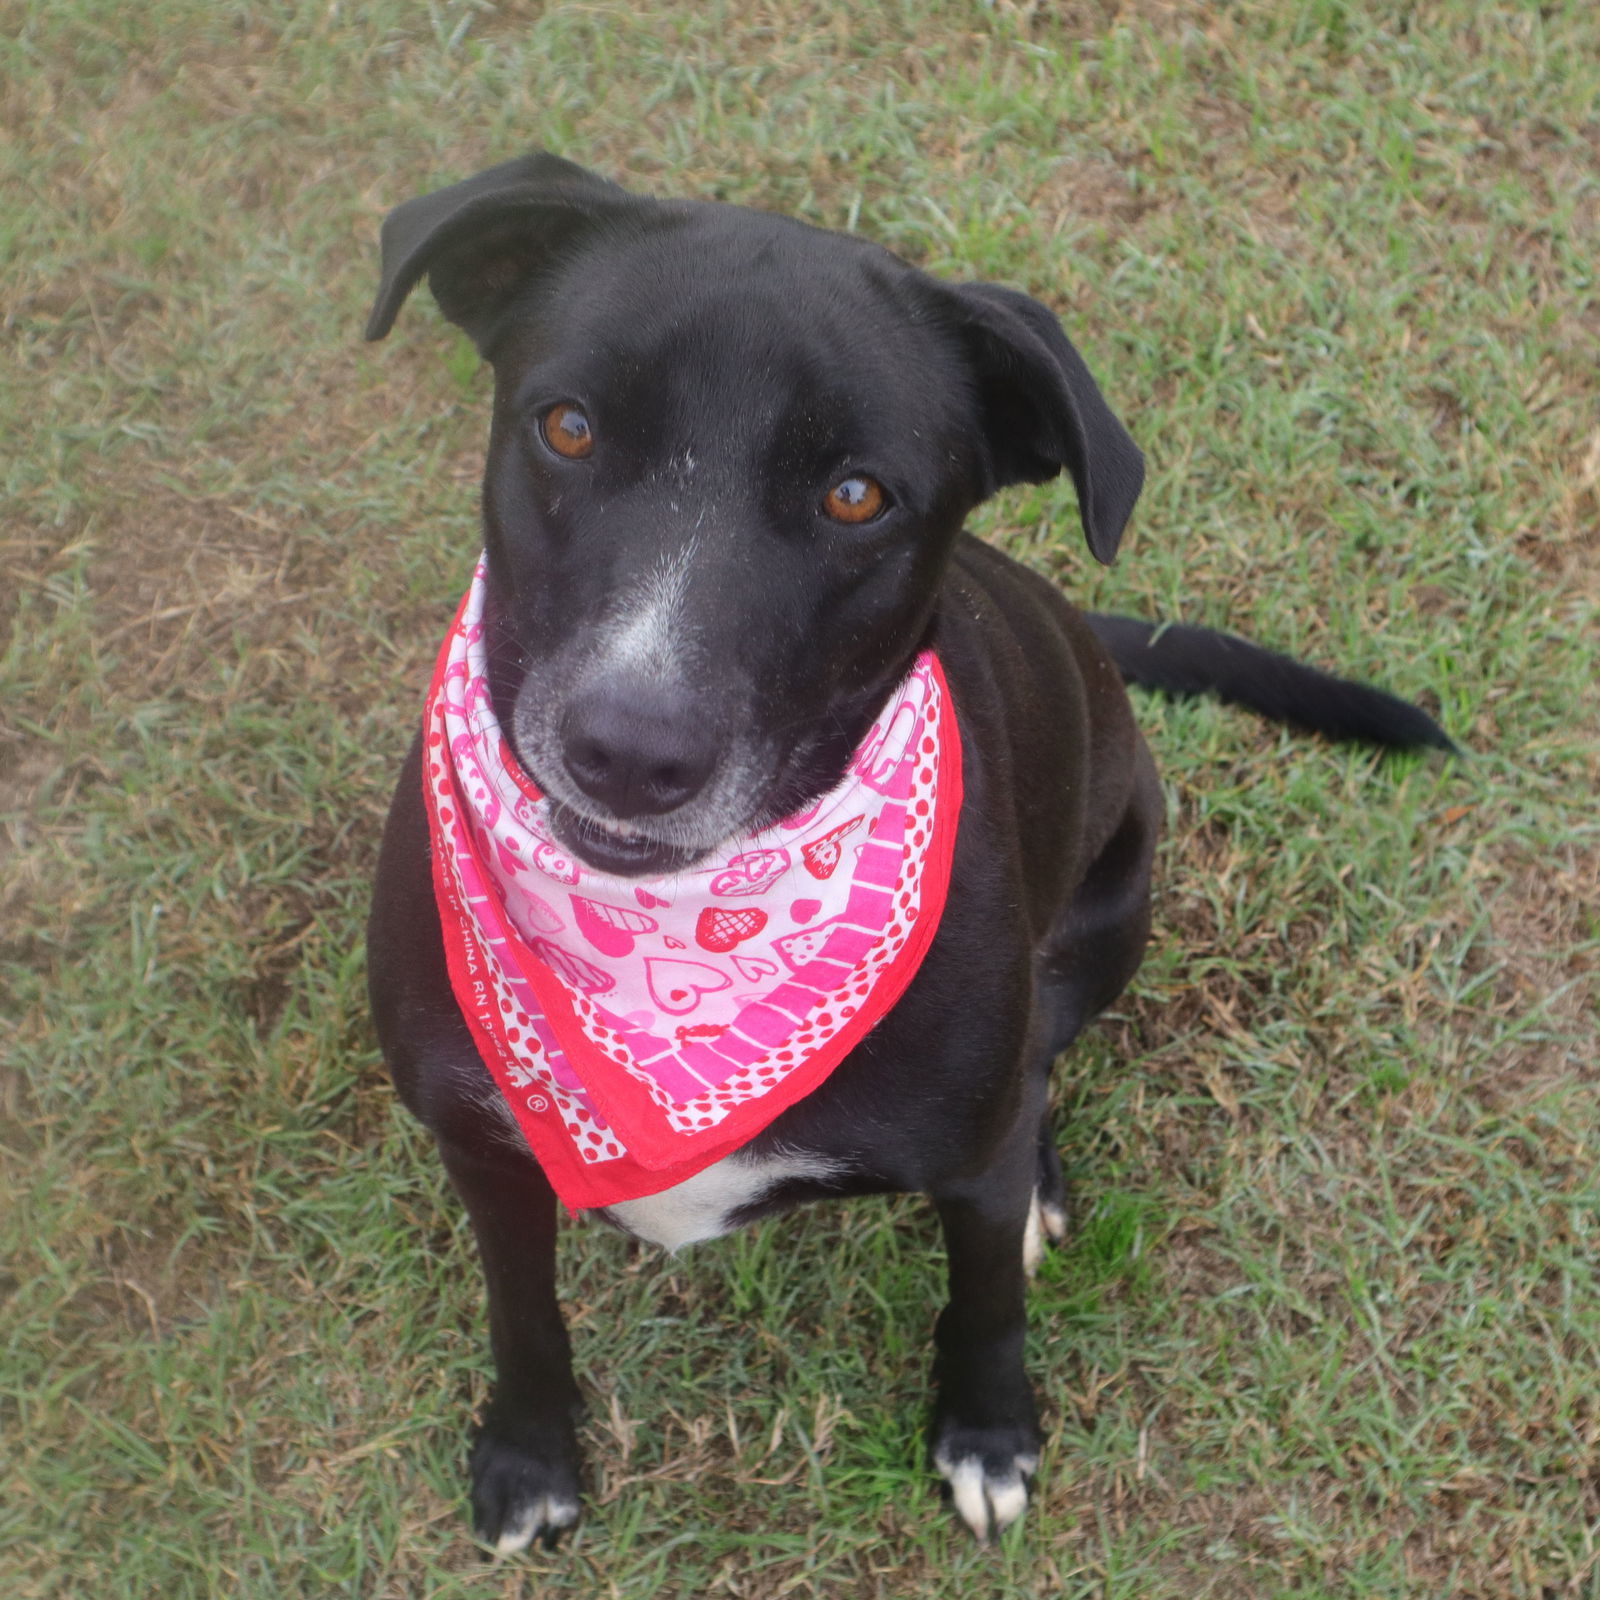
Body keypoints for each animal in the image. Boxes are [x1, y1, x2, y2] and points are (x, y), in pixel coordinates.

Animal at [366, 150, 1452, 1548]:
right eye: (568, 427)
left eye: (854, 495)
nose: (629, 749)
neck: (681, 929)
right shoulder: (485, 1145)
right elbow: (521, 1308)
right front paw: (526, 1452)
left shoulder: (969, 1171)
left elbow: (985, 1299)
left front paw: (986, 1435)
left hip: (1117, 901)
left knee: (1043, 1058)